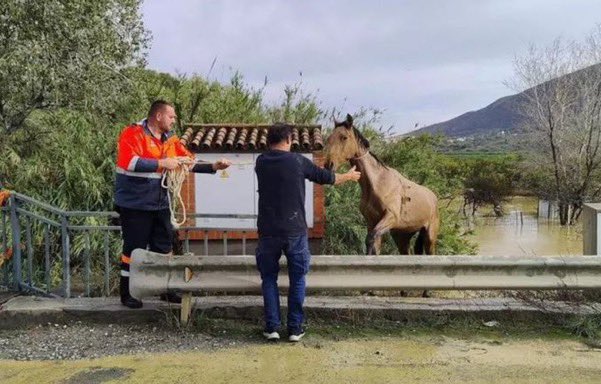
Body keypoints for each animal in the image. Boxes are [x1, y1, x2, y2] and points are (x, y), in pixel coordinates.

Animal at [326, 115, 438, 256]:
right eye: (329, 138)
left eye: (344, 137)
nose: (328, 165)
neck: (378, 182)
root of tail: (433, 198)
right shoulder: (372, 222)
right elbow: (373, 247)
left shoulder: (390, 217)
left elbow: (370, 240)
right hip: (402, 237)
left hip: (429, 237)